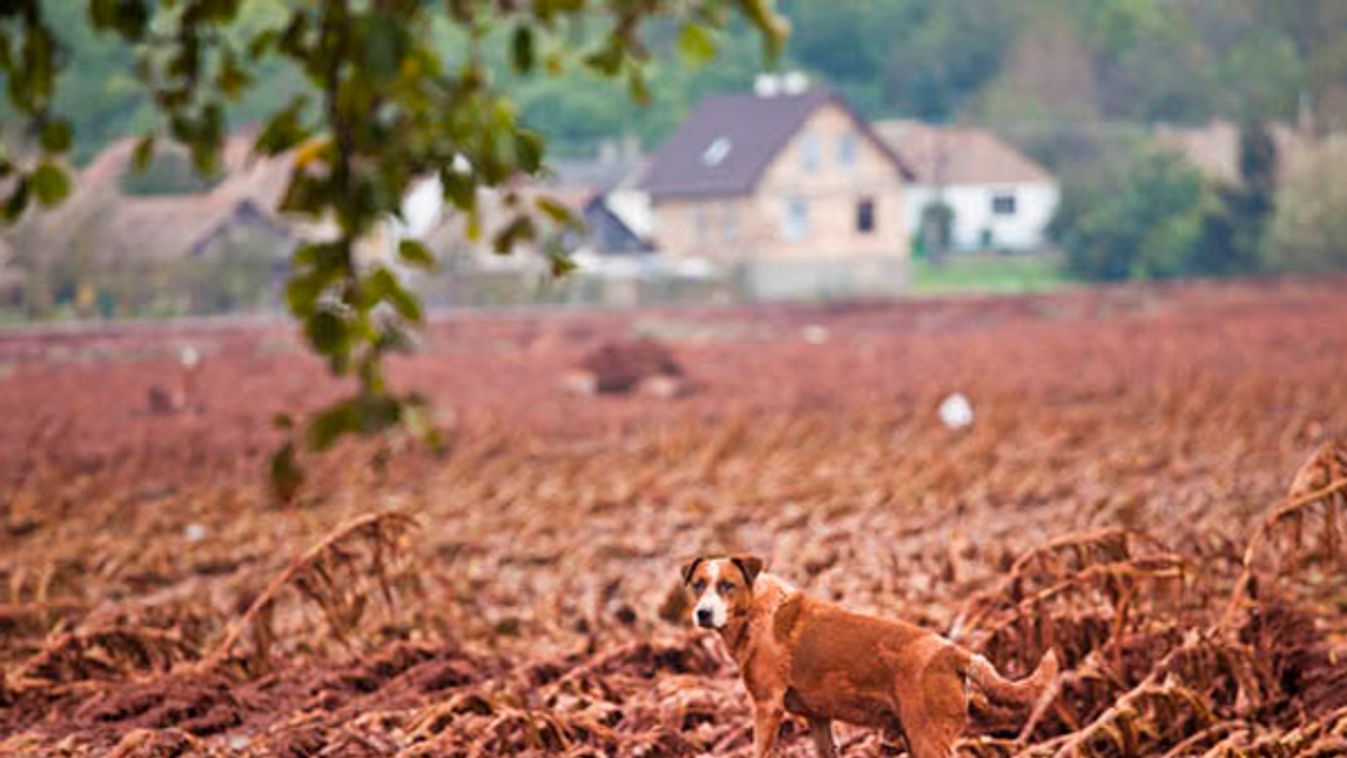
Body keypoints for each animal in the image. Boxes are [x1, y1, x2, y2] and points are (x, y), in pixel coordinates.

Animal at [689, 552, 1056, 758]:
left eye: (727, 585)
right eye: (697, 584)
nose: (702, 613)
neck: (754, 611)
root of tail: (955, 652)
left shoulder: (767, 708)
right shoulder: (818, 719)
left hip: (928, 741)